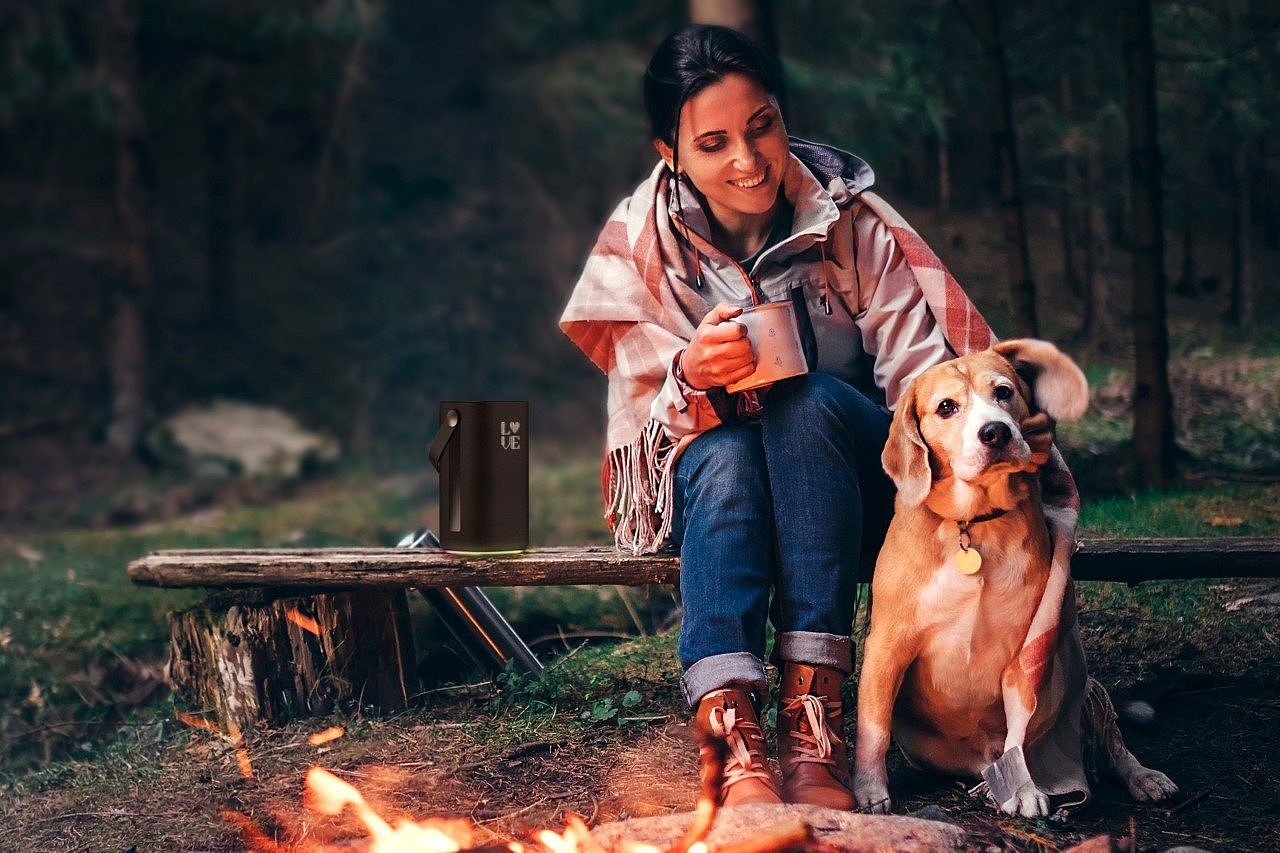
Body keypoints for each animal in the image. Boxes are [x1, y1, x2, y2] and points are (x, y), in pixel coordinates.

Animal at [855, 338, 1172, 819]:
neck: (974, 525)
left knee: (1115, 748)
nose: (995, 432)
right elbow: (873, 726)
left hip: (1086, 688)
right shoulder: (887, 645)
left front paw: (1023, 789)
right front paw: (870, 791)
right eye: (946, 407)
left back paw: (1144, 777)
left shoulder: (1025, 655)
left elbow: (1021, 735)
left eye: (1003, 392)